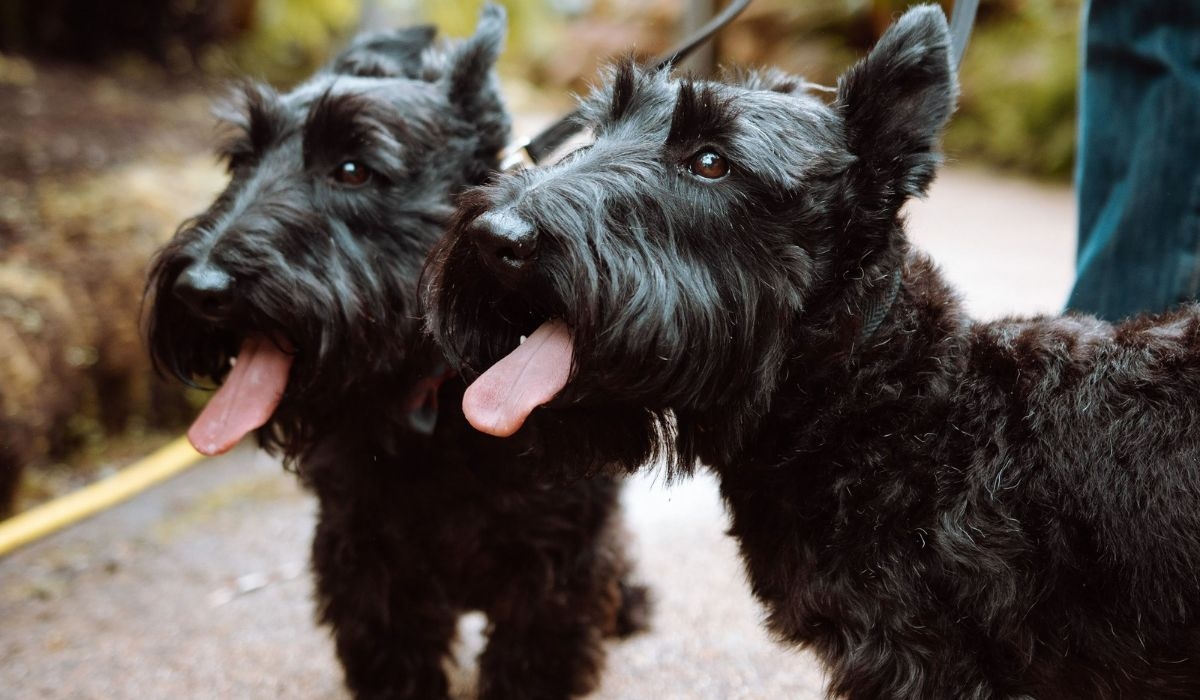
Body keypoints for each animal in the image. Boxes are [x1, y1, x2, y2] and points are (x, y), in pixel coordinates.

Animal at [144, 6, 648, 700]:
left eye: (354, 169)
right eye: (239, 162)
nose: (199, 289)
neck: (435, 404)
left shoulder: (556, 565)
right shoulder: (365, 557)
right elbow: (392, 654)